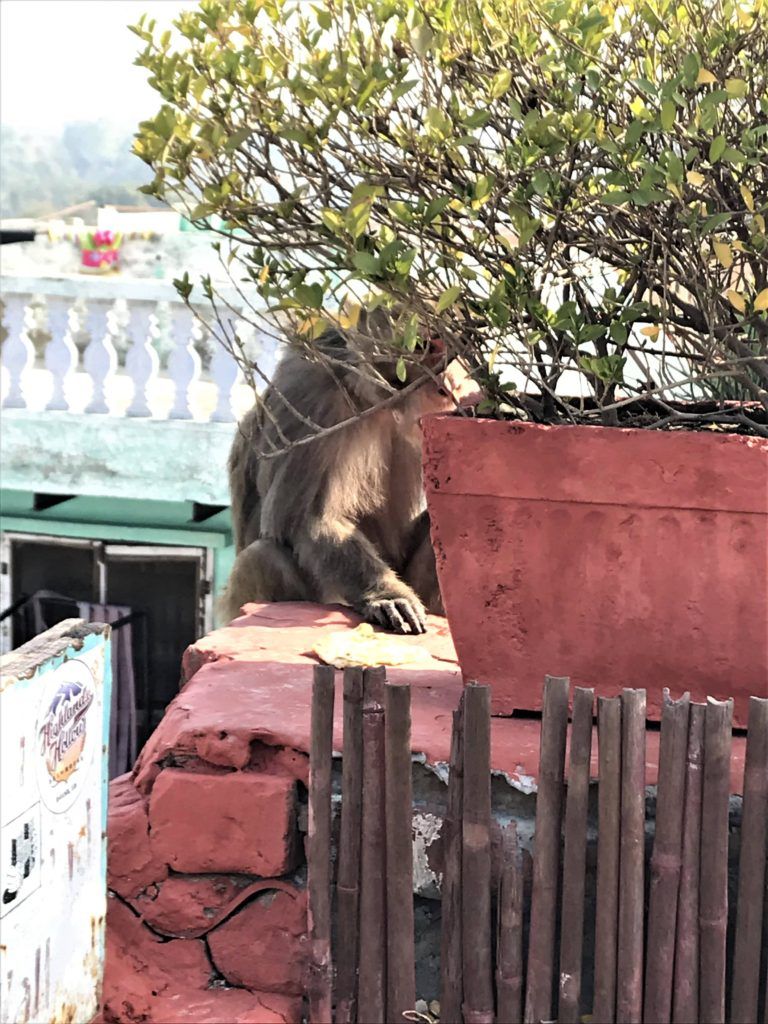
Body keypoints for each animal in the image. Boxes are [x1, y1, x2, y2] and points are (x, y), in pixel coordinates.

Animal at [218, 307, 481, 630]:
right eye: (424, 346)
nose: (448, 385)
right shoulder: (312, 396)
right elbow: (306, 519)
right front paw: (386, 594)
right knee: (261, 557)